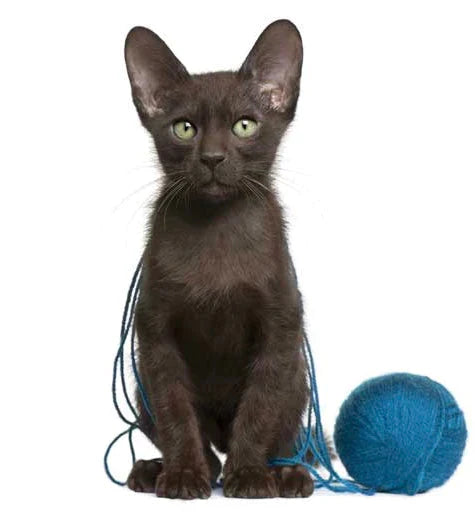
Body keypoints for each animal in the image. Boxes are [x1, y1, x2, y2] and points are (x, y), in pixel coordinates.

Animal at [124, 19, 314, 500]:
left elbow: (260, 408)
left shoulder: (280, 327)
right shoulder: (155, 334)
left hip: (297, 377)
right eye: (184, 128)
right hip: (139, 383)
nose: (212, 157)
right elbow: (175, 412)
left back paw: (289, 474)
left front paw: (248, 476)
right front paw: (184, 475)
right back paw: (160, 471)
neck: (217, 229)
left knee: (289, 434)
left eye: (244, 126)